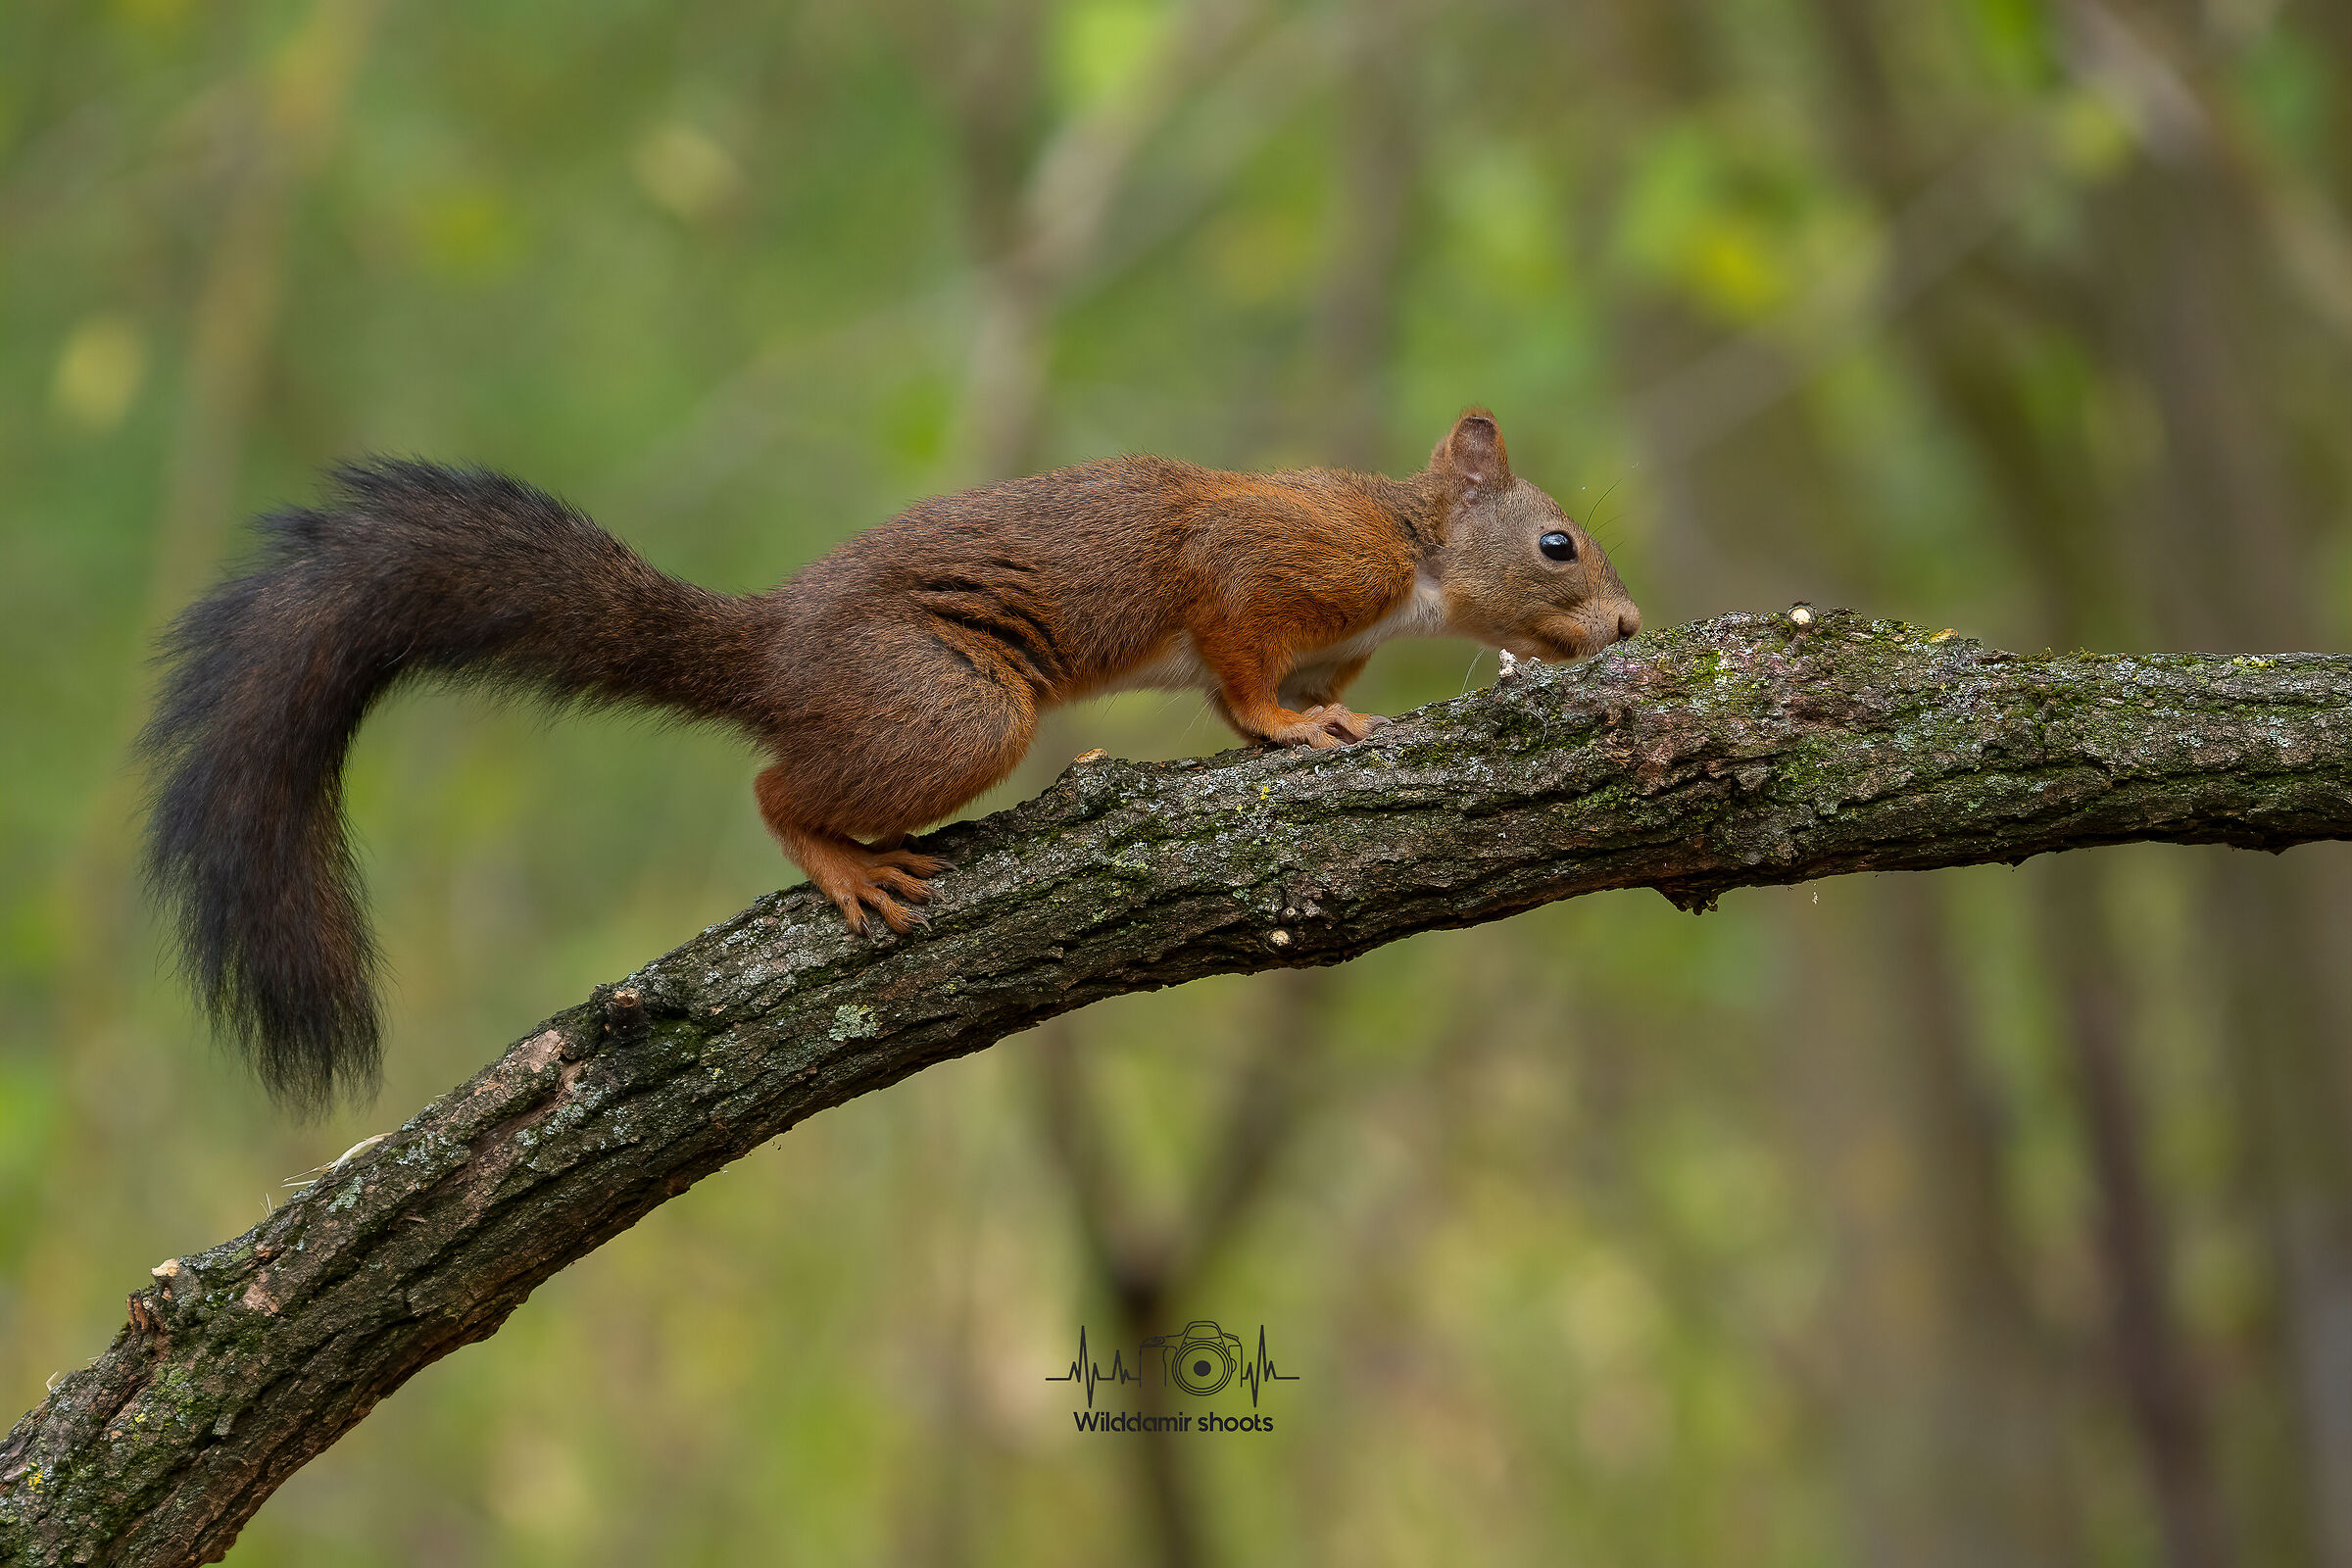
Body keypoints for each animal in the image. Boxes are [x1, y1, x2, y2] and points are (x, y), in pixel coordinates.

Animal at [140, 408, 1638, 1107]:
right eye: (1558, 543)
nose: (1628, 625)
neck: (1412, 556)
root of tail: (771, 649)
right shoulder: (1265, 566)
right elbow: (1242, 669)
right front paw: (1293, 729)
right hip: (953, 711)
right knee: (772, 785)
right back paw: (846, 865)